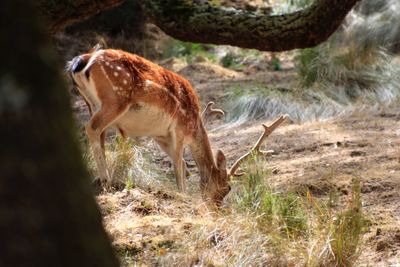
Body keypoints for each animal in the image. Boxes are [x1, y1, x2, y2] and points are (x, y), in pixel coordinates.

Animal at [68, 45, 288, 205]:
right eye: (227, 188)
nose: (215, 208)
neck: (195, 124)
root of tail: (81, 63)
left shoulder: (160, 136)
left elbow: (182, 164)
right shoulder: (179, 129)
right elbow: (178, 164)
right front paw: (182, 194)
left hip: (91, 103)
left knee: (99, 134)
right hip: (115, 99)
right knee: (91, 128)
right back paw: (106, 180)